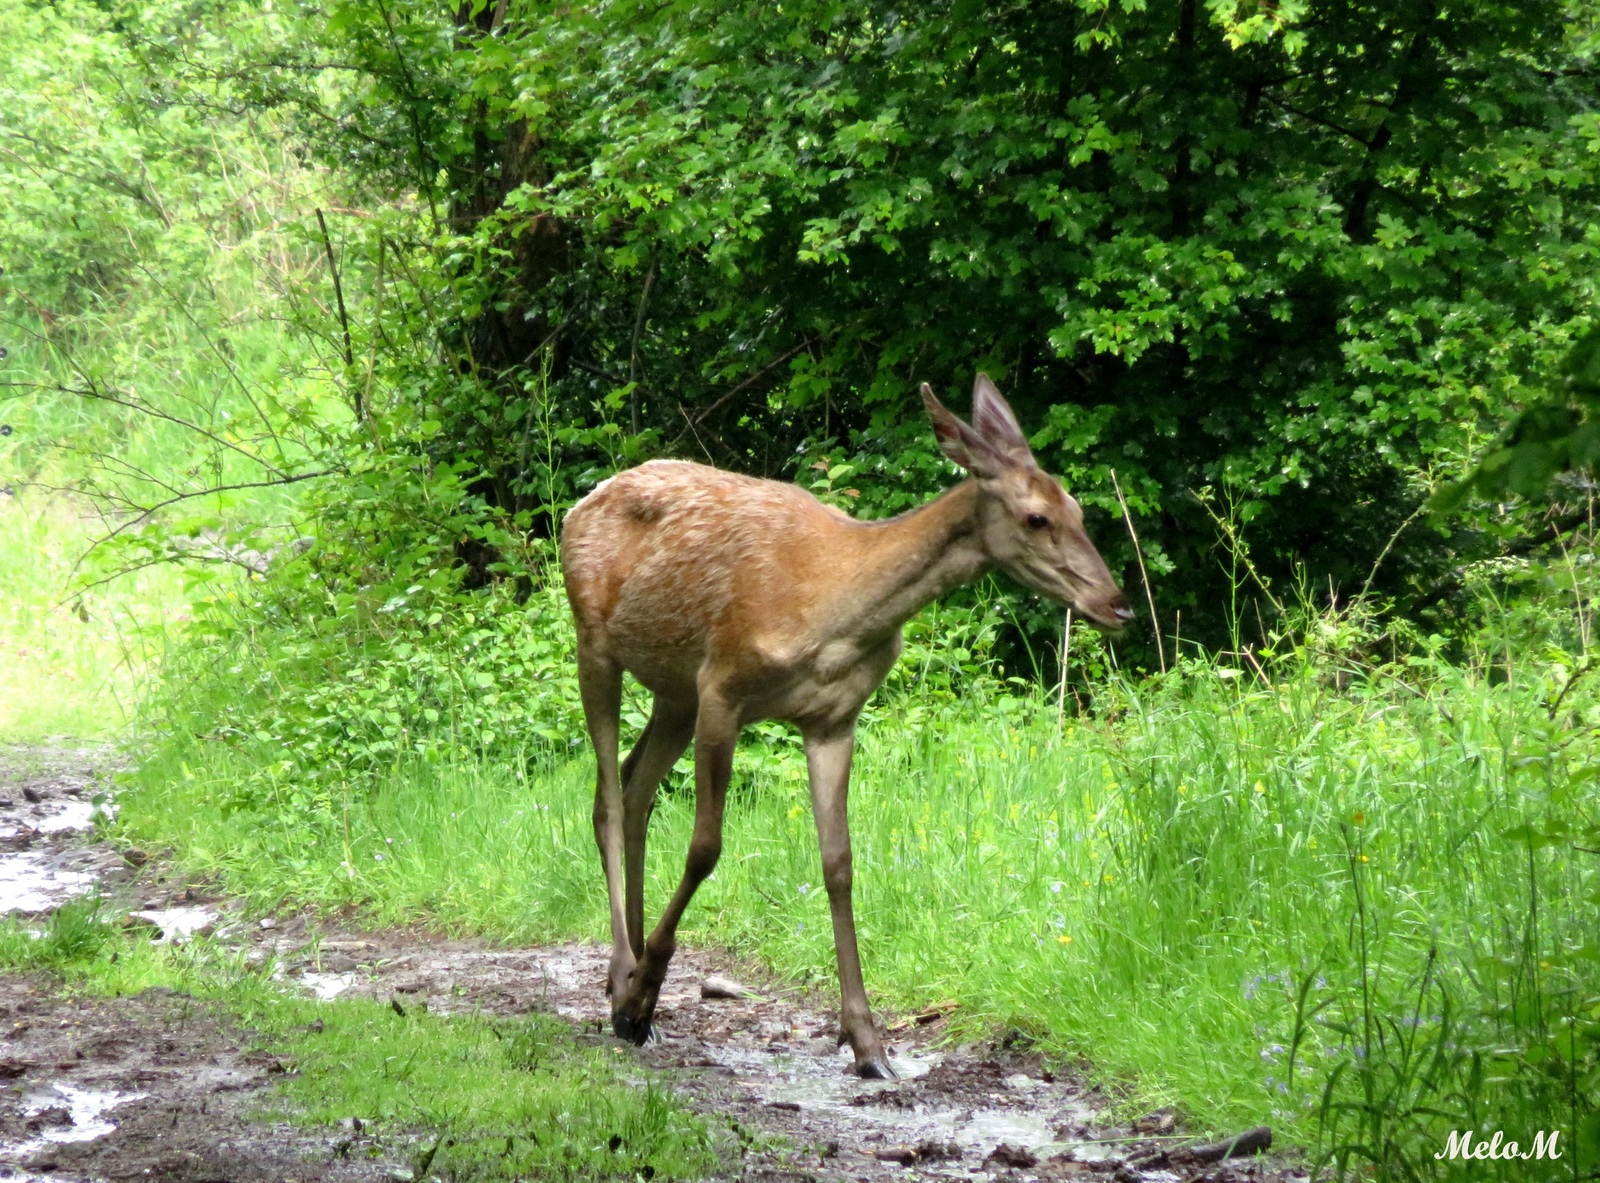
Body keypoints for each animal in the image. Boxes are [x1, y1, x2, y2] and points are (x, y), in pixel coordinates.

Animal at [556, 372, 1132, 1082]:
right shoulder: (723, 687)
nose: (1117, 605)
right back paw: (623, 983)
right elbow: (705, 847)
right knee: (609, 799)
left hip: (672, 691)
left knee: (635, 785)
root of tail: (578, 507)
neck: (835, 613)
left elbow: (839, 864)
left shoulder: (832, 719)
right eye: (1036, 517)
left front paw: (868, 1042)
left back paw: (638, 981)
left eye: (1078, 507)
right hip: (597, 644)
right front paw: (638, 1003)